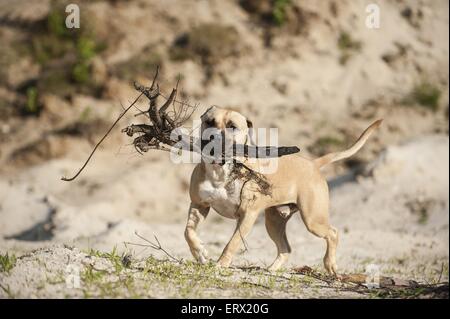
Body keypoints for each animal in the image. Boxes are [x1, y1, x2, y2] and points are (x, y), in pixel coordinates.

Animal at [185, 106, 382, 276]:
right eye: (209, 122)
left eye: (232, 126)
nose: (213, 137)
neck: (221, 170)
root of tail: (313, 163)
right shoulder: (199, 205)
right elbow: (188, 232)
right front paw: (199, 252)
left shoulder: (247, 215)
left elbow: (232, 243)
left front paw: (221, 264)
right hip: (274, 221)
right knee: (285, 248)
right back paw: (272, 269)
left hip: (312, 219)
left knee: (332, 233)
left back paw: (330, 264)